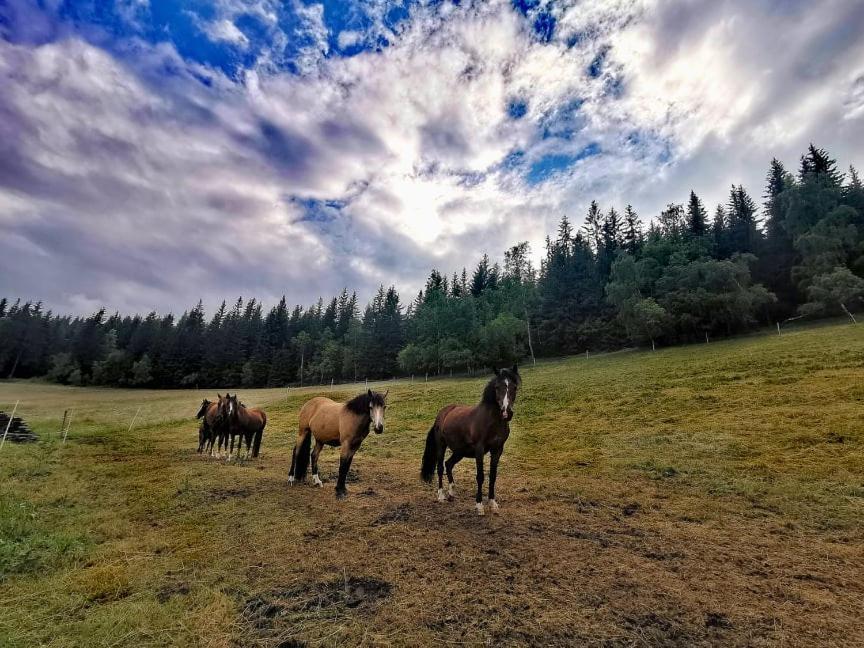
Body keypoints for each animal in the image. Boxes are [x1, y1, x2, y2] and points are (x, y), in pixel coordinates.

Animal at [420, 368, 520, 512]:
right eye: (497, 387)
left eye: (515, 387)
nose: (506, 412)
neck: (491, 421)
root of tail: (442, 413)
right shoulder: (479, 450)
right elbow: (480, 476)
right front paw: (479, 505)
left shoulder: (497, 449)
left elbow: (493, 476)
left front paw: (492, 503)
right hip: (441, 445)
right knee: (440, 468)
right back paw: (441, 496)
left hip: (459, 451)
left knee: (448, 464)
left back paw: (451, 493)